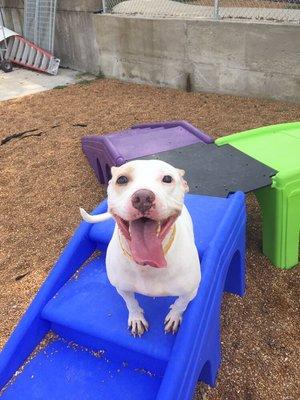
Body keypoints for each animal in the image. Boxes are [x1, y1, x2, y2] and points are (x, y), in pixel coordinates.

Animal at [81, 159, 200, 338]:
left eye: (167, 178)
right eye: (122, 179)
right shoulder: (122, 288)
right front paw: (136, 318)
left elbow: (181, 303)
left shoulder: (191, 290)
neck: (147, 266)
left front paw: (174, 316)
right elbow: (131, 302)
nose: (143, 197)